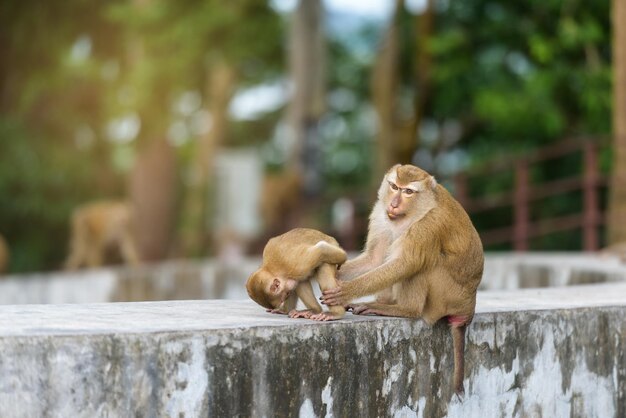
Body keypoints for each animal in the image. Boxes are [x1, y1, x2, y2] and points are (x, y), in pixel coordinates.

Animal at [322, 163, 482, 396]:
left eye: (408, 192)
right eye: (394, 186)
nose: (394, 204)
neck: (416, 211)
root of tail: (467, 310)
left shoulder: (429, 225)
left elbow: (405, 264)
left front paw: (345, 291)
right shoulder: (381, 215)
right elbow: (375, 258)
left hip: (446, 296)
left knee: (423, 263)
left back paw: (403, 309)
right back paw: (385, 302)